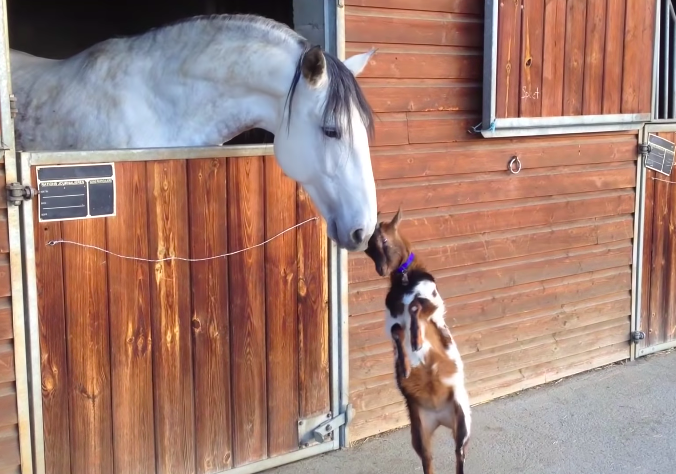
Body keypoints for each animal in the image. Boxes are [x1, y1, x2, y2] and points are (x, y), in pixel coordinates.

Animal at [364, 209, 470, 474]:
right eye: (368, 248)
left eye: (384, 239)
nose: (381, 269)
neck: (405, 282)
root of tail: (439, 415)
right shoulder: (392, 320)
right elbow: (396, 332)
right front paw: (404, 366)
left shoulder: (432, 303)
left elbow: (415, 307)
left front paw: (418, 341)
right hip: (419, 429)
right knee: (428, 459)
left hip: (463, 419)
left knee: (459, 454)